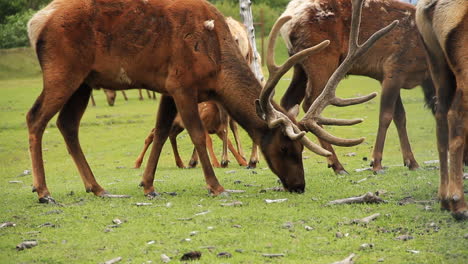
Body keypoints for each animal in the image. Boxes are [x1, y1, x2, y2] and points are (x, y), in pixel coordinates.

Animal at [25, 0, 394, 203]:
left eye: (302, 149)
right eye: (285, 147)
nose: (299, 185)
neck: (217, 65)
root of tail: (36, 21)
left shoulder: (167, 88)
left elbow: (161, 131)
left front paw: (147, 185)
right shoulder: (182, 83)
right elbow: (197, 134)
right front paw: (216, 186)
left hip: (84, 82)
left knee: (67, 125)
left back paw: (97, 187)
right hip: (64, 70)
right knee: (36, 118)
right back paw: (44, 191)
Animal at [278, 0, 436, 175]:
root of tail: (288, 19)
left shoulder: (386, 77)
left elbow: (400, 117)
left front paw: (412, 162)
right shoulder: (394, 68)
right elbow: (386, 116)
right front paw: (376, 163)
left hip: (298, 65)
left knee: (288, 100)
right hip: (321, 58)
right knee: (309, 102)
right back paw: (337, 165)